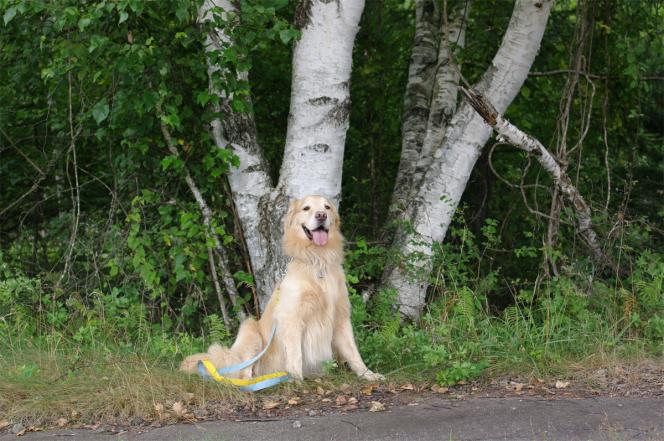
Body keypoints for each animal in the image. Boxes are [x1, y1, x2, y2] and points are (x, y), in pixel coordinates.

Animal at [179, 194, 384, 380]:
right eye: (306, 208)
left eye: (327, 207)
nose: (321, 215)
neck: (317, 261)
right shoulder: (292, 317)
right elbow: (295, 354)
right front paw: (296, 379)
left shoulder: (341, 316)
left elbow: (353, 351)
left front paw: (368, 374)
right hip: (250, 330)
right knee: (243, 372)